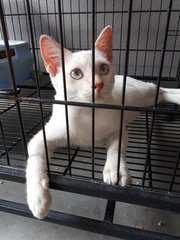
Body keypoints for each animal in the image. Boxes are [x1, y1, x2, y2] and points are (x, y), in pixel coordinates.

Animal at [26, 26, 180, 219]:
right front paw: (38, 198)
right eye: (76, 74)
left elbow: (116, 149)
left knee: (161, 89)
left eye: (104, 69)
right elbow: (34, 158)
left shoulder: (118, 128)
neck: (87, 113)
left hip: (143, 93)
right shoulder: (42, 137)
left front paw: (115, 170)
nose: (98, 84)